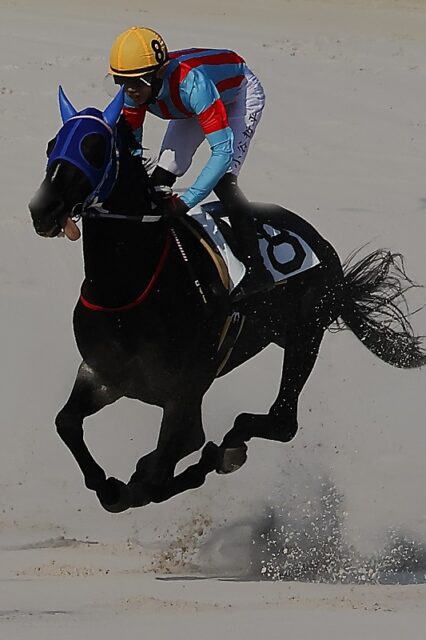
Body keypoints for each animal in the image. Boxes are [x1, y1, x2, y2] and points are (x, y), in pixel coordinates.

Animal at [28, 87, 426, 513]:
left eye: (95, 148)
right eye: (51, 146)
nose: (43, 210)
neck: (130, 293)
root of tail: (323, 246)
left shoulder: (183, 395)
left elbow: (159, 475)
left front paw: (191, 465)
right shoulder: (103, 374)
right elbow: (68, 425)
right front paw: (109, 484)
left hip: (306, 334)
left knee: (282, 421)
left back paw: (232, 445)